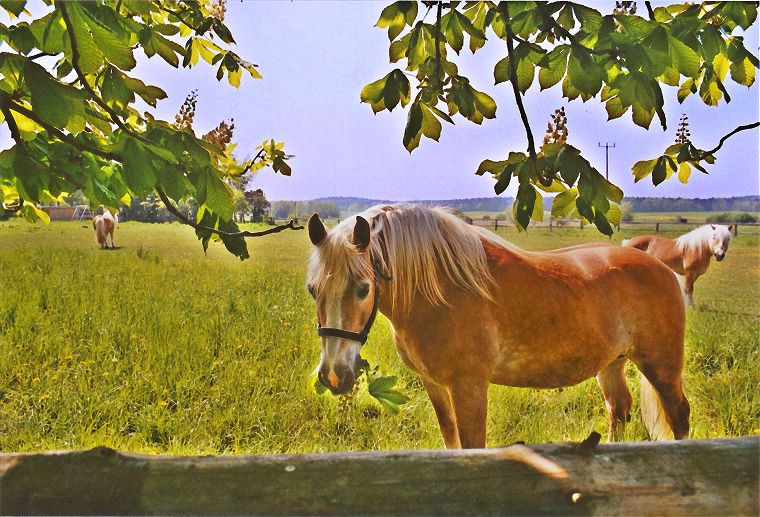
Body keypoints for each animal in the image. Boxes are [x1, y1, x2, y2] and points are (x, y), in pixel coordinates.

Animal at [307, 205, 689, 448]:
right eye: (313, 290)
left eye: (363, 288)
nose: (334, 376)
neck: (442, 291)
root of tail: (661, 267)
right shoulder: (435, 386)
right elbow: (452, 443)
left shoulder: (469, 386)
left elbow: (473, 445)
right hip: (611, 364)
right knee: (618, 410)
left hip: (661, 366)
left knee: (679, 416)